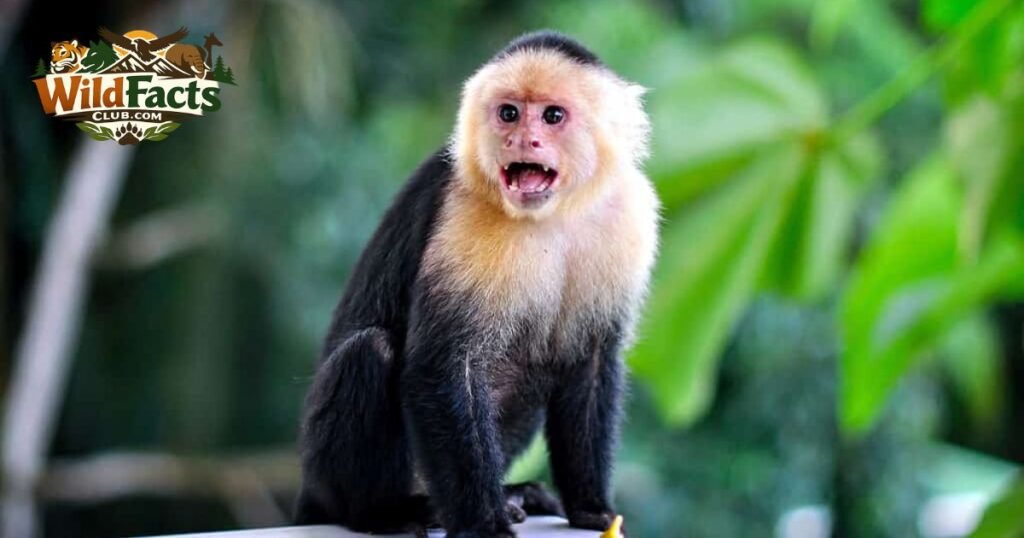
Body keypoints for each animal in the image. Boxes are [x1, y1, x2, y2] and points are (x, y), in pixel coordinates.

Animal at [294, 30, 659, 537]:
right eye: (509, 113)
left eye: (552, 116)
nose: (521, 139)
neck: (553, 213)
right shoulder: (465, 209)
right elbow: (445, 365)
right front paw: (484, 525)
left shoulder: (630, 214)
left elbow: (590, 362)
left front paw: (591, 507)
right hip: (324, 471)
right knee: (371, 350)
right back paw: (383, 511)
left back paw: (514, 494)